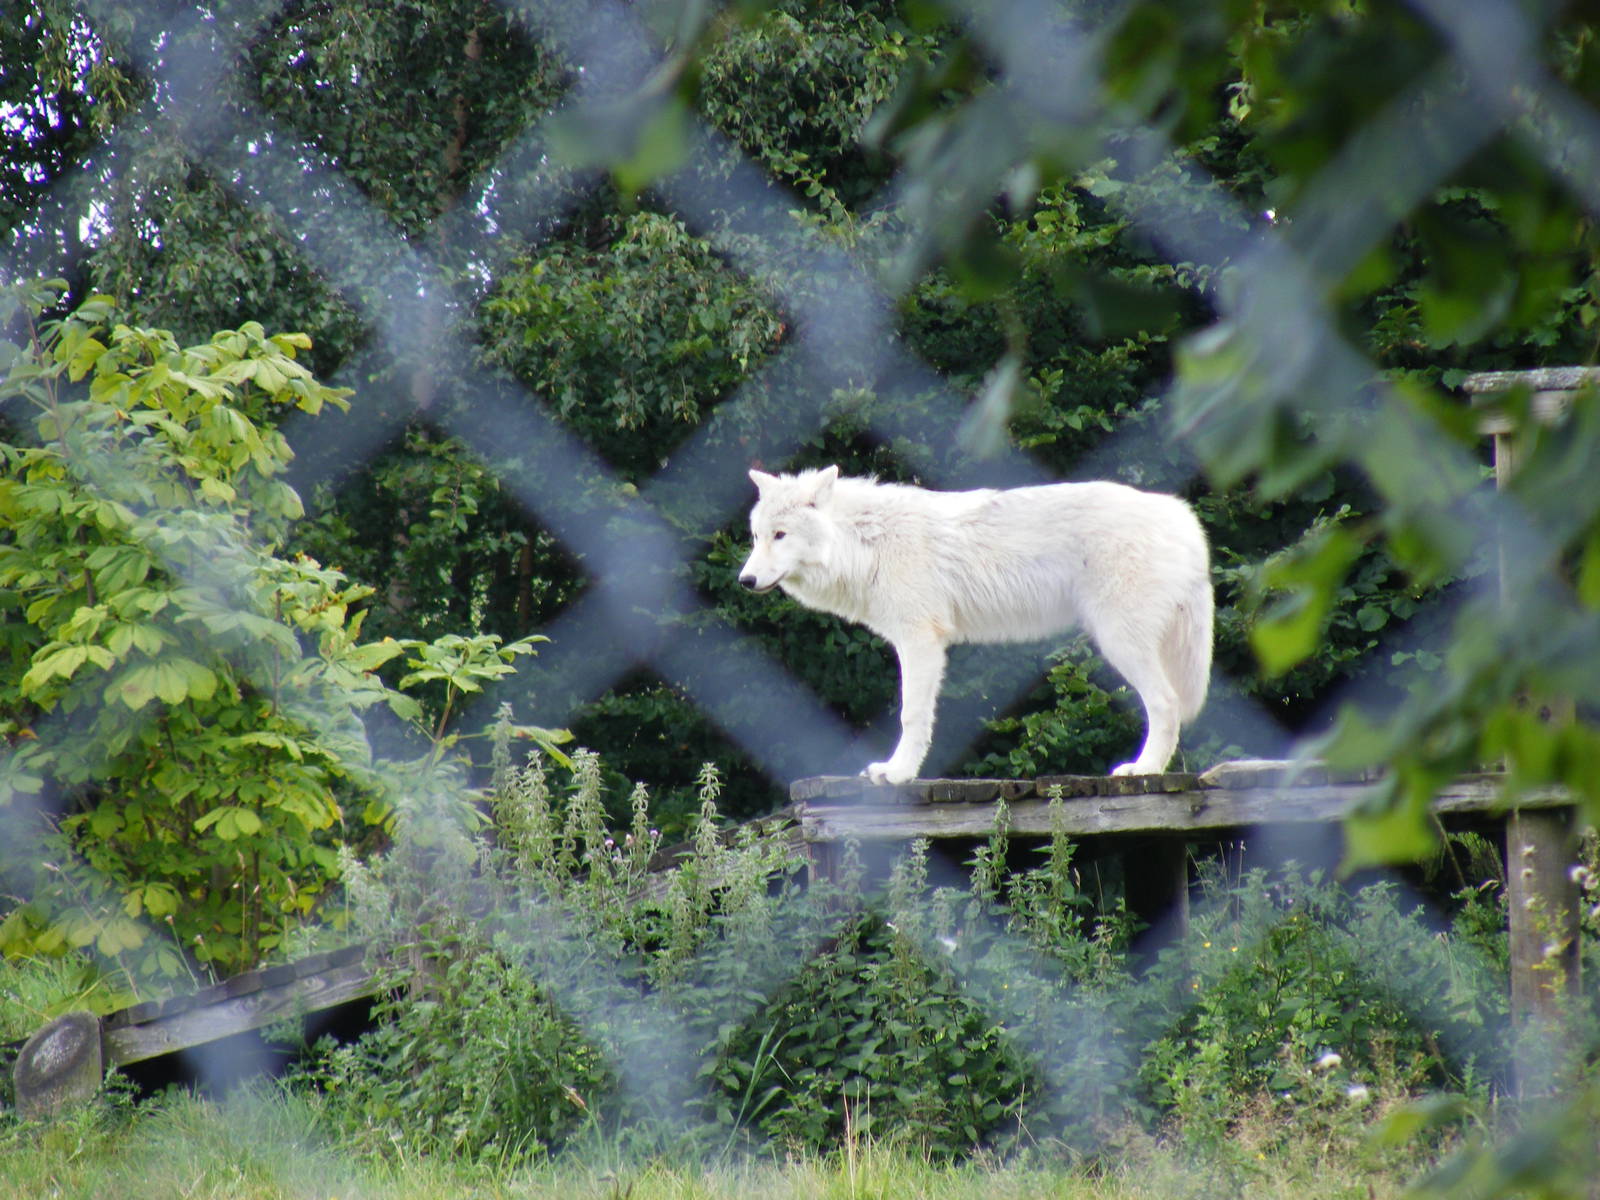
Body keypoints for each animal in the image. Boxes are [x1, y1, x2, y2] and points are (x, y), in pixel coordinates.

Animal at [738, 465, 1213, 784]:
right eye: (757, 537)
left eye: (781, 535)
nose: (745, 580)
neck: (865, 544)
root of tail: (1182, 515)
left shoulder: (919, 641)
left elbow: (911, 716)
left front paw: (898, 773)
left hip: (1120, 644)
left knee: (1167, 705)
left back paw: (1144, 769)